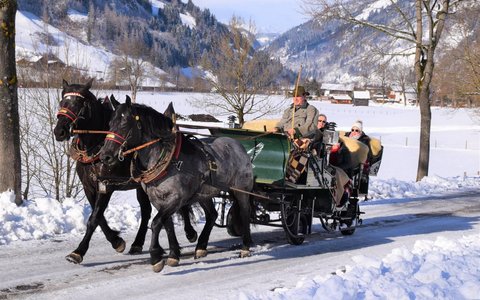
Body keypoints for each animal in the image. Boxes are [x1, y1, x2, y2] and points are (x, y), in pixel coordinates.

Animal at [98, 99, 255, 274]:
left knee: (245, 212)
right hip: (204, 194)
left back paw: (245, 247)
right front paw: (173, 254)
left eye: (125, 123)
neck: (169, 159)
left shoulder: (176, 198)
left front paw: (156, 257)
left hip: (241, 190)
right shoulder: (158, 199)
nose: (105, 156)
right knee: (212, 215)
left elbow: (156, 223)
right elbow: (167, 224)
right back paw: (201, 247)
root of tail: (239, 146)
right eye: (110, 123)